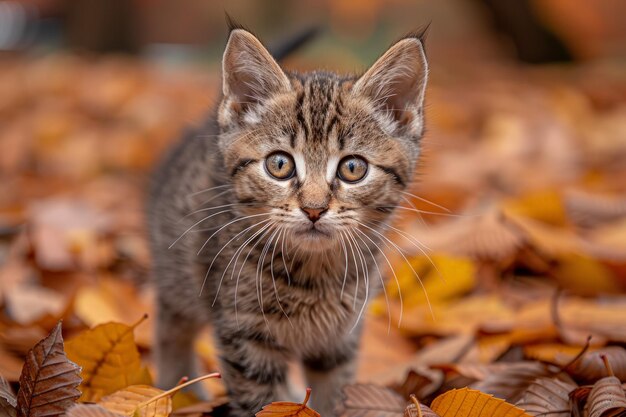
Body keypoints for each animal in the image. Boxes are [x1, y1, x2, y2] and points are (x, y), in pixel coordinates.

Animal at [149, 23, 426, 416]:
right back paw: (174, 392)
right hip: (178, 273)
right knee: (171, 328)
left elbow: (332, 392)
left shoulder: (340, 338)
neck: (315, 274)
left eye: (352, 168)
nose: (313, 208)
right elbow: (261, 401)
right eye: (279, 165)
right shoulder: (245, 334)